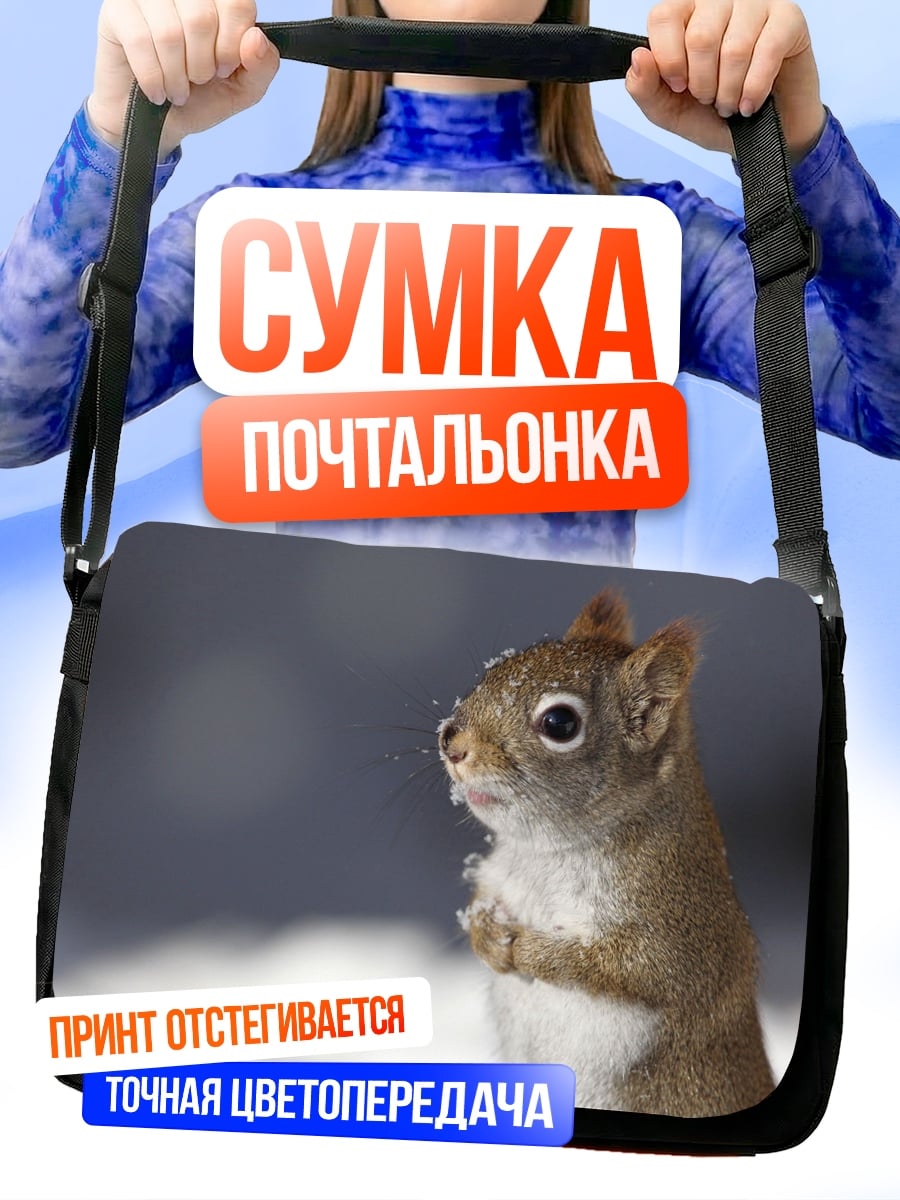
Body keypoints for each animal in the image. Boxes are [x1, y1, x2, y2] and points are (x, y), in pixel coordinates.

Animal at [438, 588, 774, 1118]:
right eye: (491, 673)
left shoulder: (673, 931)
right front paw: (487, 934)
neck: (546, 853)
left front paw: (531, 951)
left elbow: (622, 968)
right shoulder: (499, 876)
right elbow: (480, 902)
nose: (451, 742)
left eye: (560, 723)